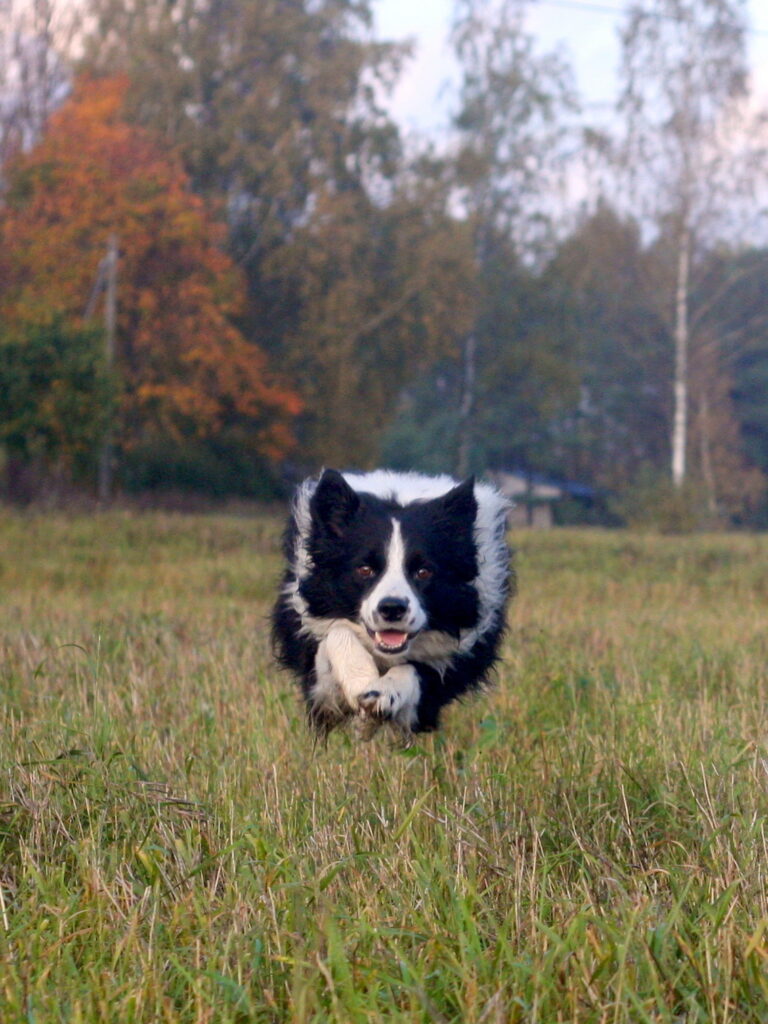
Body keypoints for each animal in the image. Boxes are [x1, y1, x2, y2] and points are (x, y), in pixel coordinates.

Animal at [274, 471, 514, 737]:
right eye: (365, 569)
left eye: (423, 572)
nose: (392, 609)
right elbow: (336, 634)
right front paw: (361, 682)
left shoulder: (458, 654)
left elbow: (415, 672)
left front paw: (382, 695)